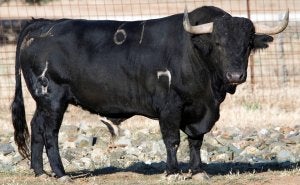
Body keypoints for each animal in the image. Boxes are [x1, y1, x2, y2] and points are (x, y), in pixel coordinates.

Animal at [11, 6, 288, 179]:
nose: (235, 76)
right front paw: (173, 171)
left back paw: (40, 172)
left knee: (36, 127)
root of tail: (42, 24)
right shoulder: (169, 107)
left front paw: (198, 170)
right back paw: (60, 173)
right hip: (53, 98)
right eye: (218, 43)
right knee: (50, 132)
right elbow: (172, 140)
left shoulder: (200, 110)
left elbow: (196, 141)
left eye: (248, 44)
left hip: (43, 101)